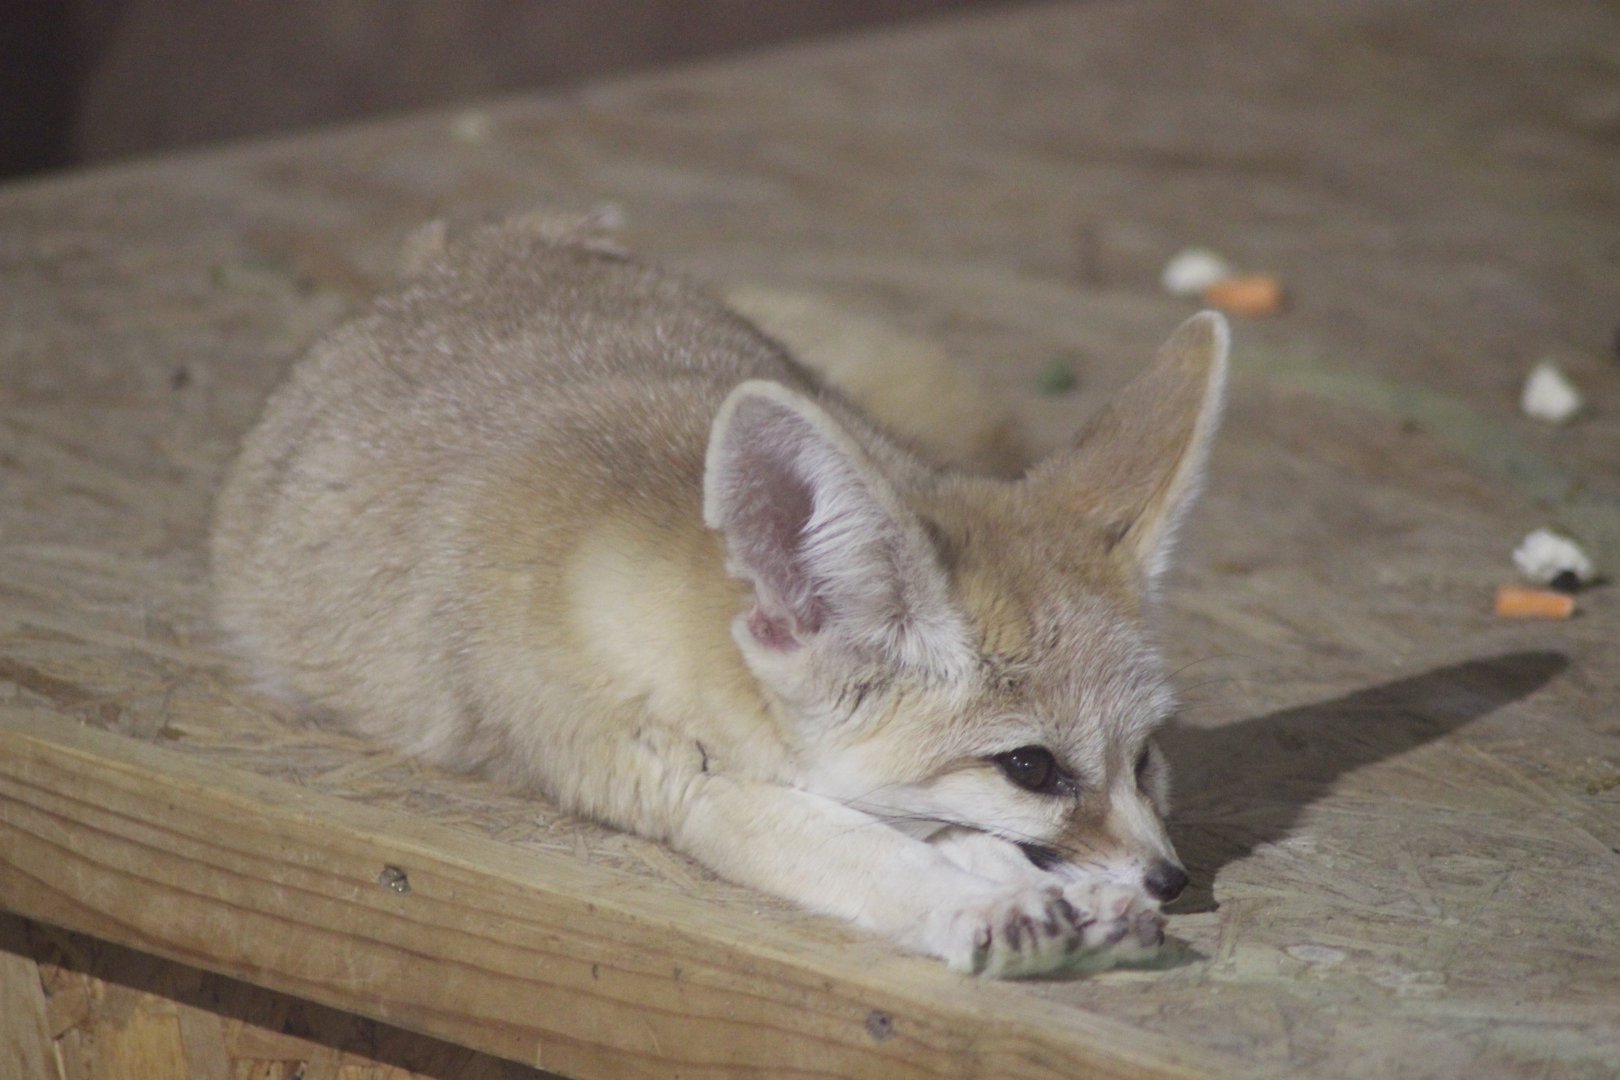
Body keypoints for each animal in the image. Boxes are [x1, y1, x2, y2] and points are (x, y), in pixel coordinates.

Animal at [209, 212, 1228, 978]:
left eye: (1145, 757)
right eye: (1031, 768)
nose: (1172, 880)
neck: (698, 609)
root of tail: (458, 250)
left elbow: (927, 829)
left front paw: (1053, 889)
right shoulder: (674, 782)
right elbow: (871, 850)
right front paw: (997, 900)